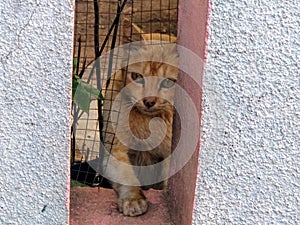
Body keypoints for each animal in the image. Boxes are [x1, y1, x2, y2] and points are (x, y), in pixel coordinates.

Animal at [103, 18, 178, 216]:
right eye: (137, 76)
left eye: (168, 82)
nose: (149, 101)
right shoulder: (115, 149)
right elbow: (126, 176)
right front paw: (133, 199)